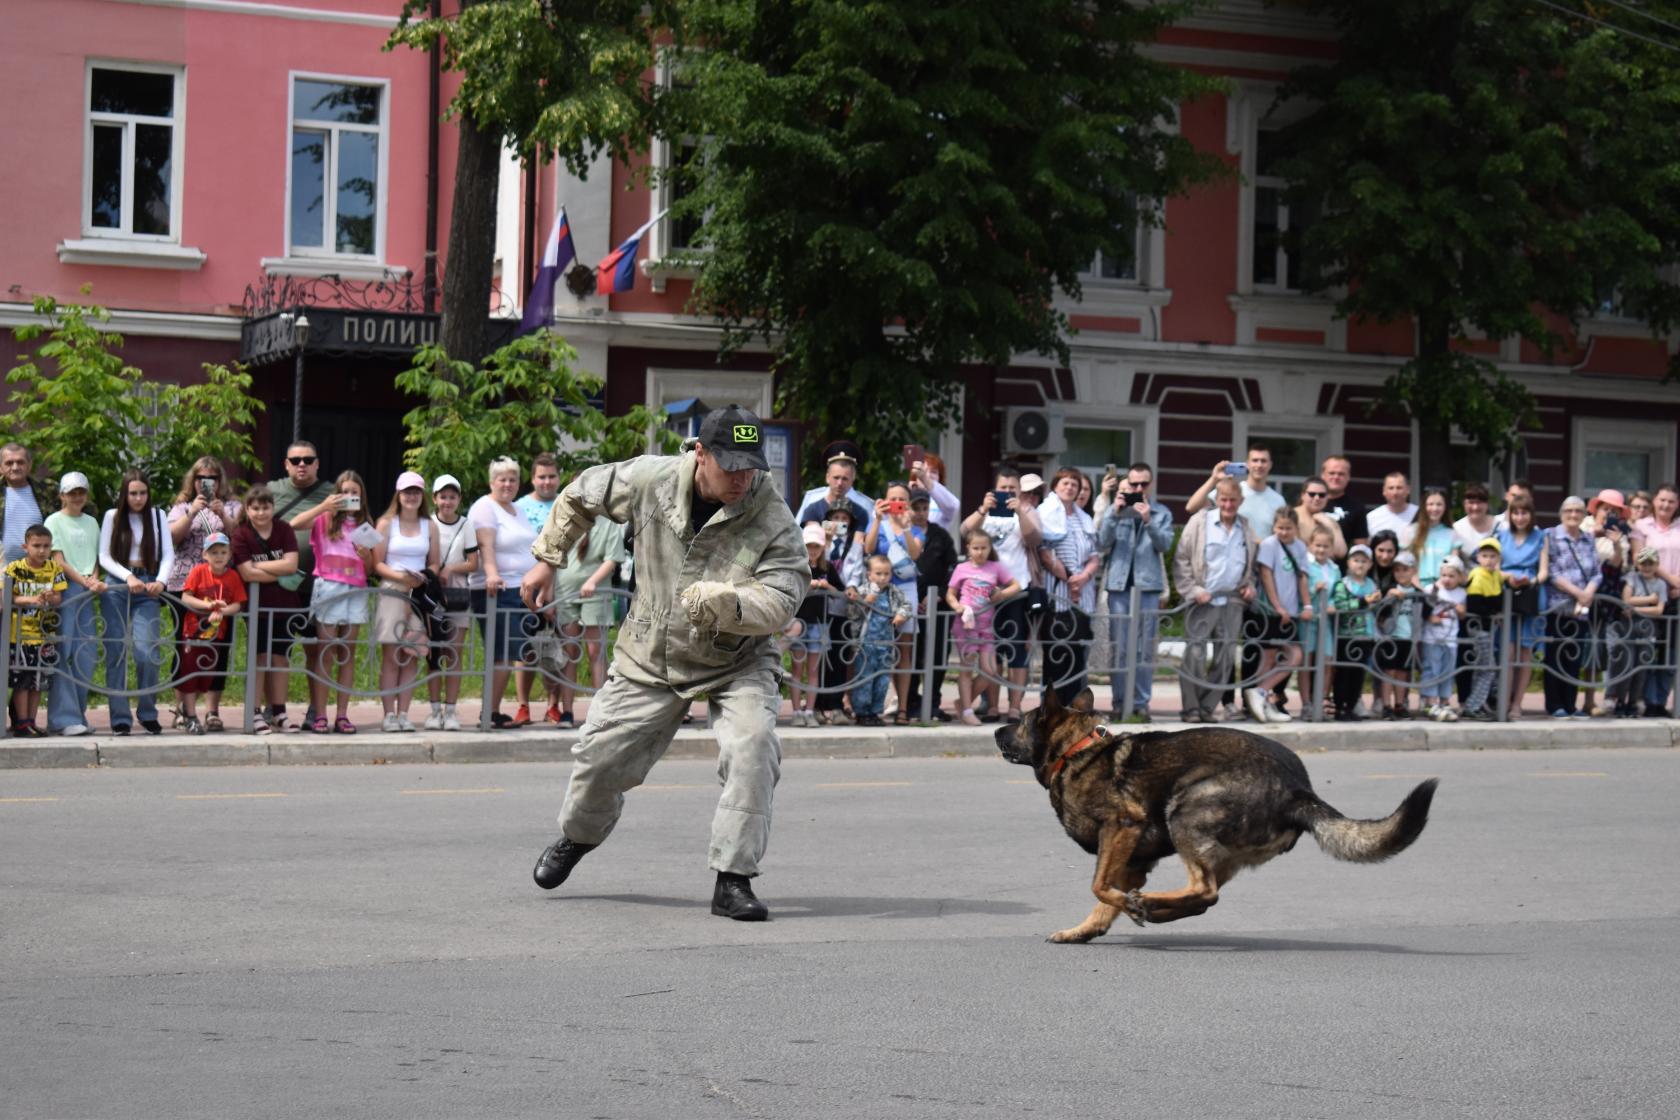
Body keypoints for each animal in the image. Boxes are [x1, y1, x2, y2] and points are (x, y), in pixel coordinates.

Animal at [987, 688, 1438, 940]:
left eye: (1022, 721)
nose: (994, 730)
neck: (1077, 750)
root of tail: (1299, 791)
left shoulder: (1122, 827)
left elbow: (1099, 886)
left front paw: (1123, 905)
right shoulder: (1132, 860)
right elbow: (1104, 900)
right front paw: (1086, 930)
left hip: (1186, 811)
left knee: (1205, 890)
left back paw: (1152, 903)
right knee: (1205, 898)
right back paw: (1155, 908)